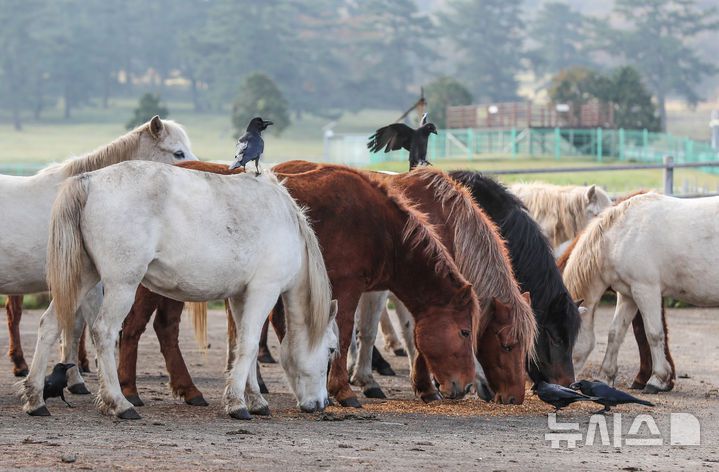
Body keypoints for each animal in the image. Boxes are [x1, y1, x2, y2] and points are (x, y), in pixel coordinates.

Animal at [22, 162, 339, 420]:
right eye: (332, 349)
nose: (322, 403)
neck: (285, 221)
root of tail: (89, 181)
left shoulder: (242, 296)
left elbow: (241, 345)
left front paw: (255, 400)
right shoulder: (264, 291)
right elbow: (249, 344)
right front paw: (237, 404)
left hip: (82, 278)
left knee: (49, 325)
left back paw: (36, 399)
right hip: (121, 284)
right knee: (104, 331)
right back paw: (120, 403)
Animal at [116, 160, 479, 408]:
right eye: (464, 331)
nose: (464, 386)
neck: (378, 226)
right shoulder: (347, 288)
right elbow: (343, 336)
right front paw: (343, 391)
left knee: (165, 329)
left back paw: (188, 389)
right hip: (146, 285)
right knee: (132, 328)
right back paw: (129, 391)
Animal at [562, 192, 718, 393]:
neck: (619, 237)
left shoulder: (645, 290)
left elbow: (653, 333)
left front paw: (657, 379)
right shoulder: (627, 295)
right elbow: (615, 333)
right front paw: (605, 376)